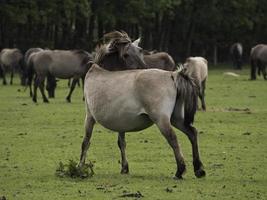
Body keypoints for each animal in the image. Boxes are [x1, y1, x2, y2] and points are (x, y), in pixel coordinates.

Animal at [78, 64, 206, 180]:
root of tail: (172, 75)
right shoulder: (121, 124)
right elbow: (121, 143)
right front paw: (124, 168)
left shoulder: (89, 117)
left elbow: (86, 142)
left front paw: (80, 166)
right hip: (176, 120)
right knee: (192, 133)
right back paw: (198, 169)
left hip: (161, 120)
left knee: (173, 138)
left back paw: (179, 171)